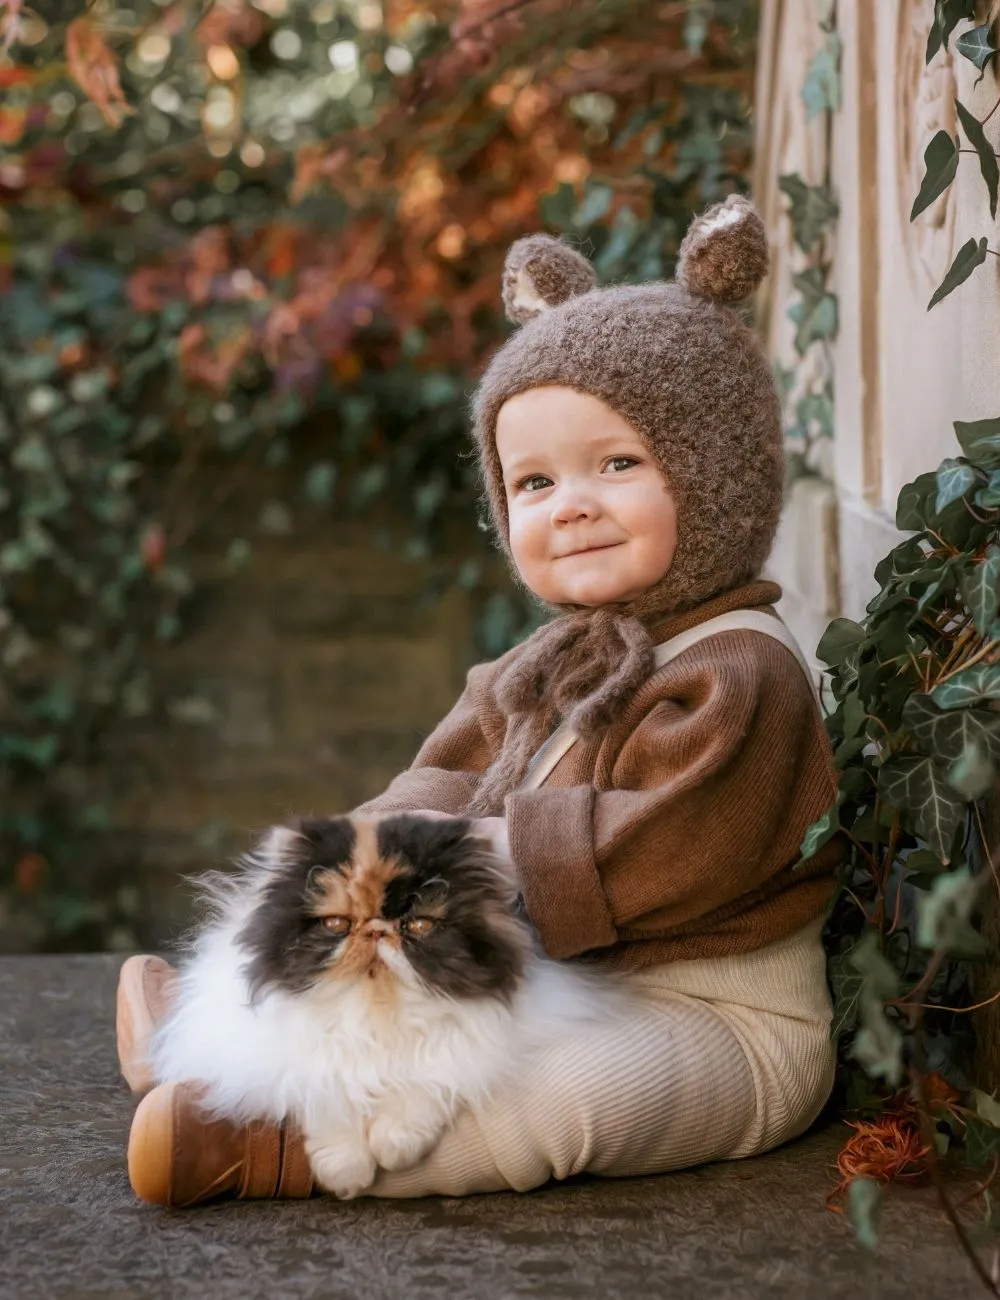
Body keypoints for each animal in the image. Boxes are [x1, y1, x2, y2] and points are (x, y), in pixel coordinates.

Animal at [150, 811, 618, 1196]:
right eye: (336, 923)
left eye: (420, 925)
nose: (376, 930)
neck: (378, 1013)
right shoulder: (310, 1059)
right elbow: (330, 1098)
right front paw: (347, 1173)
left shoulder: (461, 1048)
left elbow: (426, 1082)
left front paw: (393, 1145)